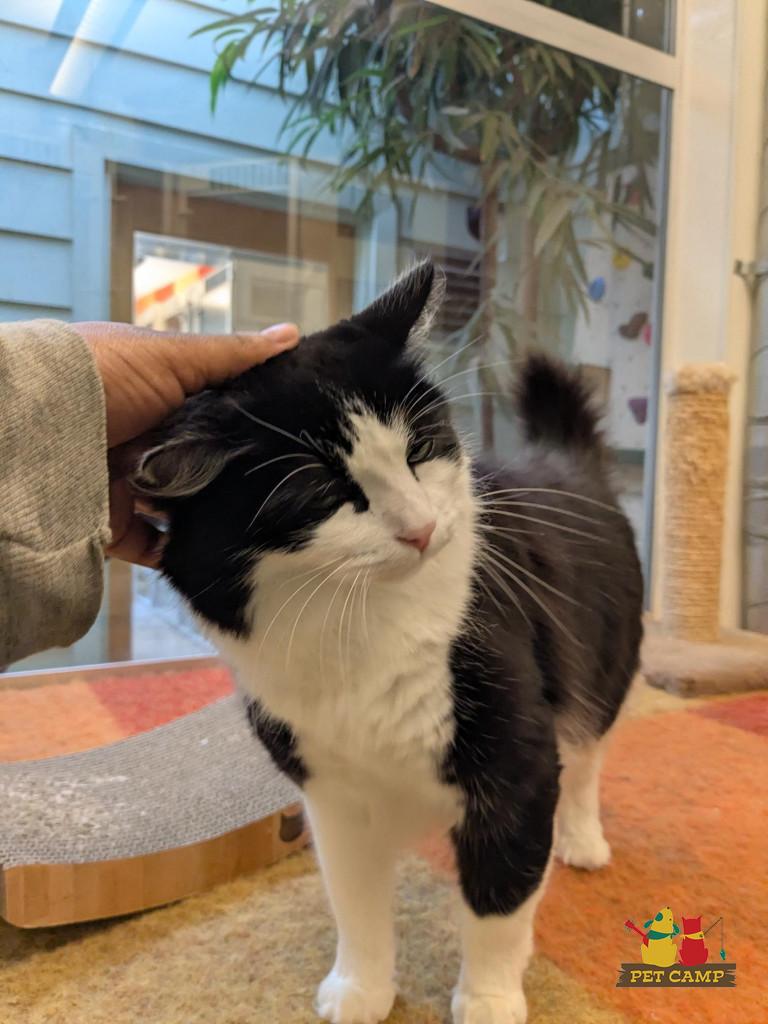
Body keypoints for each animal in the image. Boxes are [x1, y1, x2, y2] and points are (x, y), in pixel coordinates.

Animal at [134, 259, 643, 1024]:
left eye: (420, 448)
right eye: (319, 493)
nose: (420, 528)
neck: (363, 629)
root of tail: (566, 460)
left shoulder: (516, 767)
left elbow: (498, 903)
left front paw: (488, 998)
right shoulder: (333, 794)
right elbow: (355, 904)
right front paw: (362, 989)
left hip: (603, 668)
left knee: (586, 754)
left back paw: (581, 838)